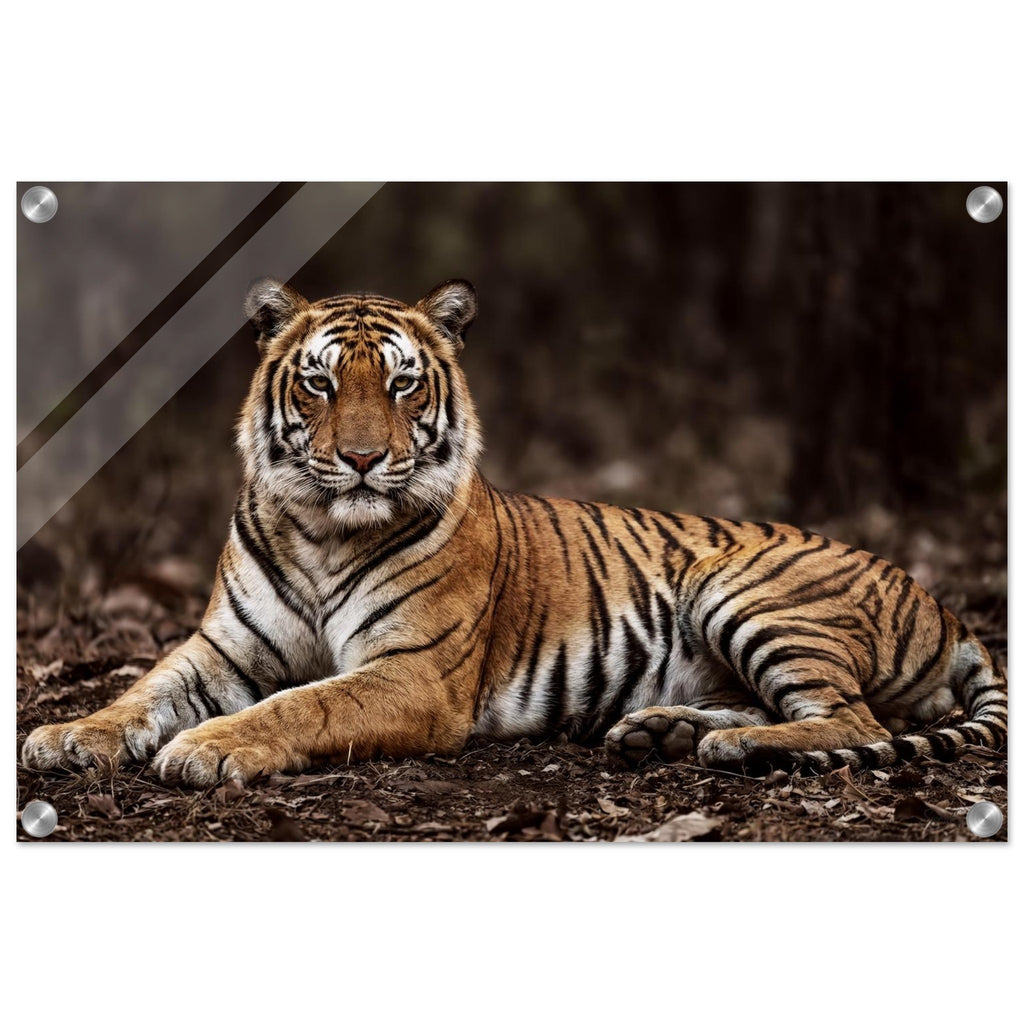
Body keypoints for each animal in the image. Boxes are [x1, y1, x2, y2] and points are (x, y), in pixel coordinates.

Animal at [22, 279, 1008, 788]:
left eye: (403, 383)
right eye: (320, 383)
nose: (364, 459)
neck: (320, 532)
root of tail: (947, 606)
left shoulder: (412, 673)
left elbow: (305, 703)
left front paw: (208, 748)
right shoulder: (220, 648)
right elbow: (141, 691)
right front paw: (66, 736)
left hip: (744, 587)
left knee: (855, 720)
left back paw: (727, 747)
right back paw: (665, 732)